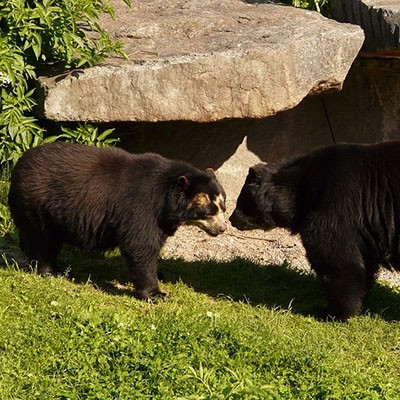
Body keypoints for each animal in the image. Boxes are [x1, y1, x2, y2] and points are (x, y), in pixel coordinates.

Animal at [9, 142, 227, 298]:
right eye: (209, 211)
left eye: (223, 206)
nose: (223, 228)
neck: (167, 198)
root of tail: (19, 163)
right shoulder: (141, 206)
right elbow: (140, 244)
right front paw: (156, 293)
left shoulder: (162, 219)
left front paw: (160, 274)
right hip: (38, 203)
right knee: (43, 239)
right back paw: (48, 270)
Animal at [230, 141, 400, 322]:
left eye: (241, 201)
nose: (231, 219)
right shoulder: (363, 229)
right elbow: (363, 261)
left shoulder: (335, 206)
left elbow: (336, 259)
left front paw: (333, 313)